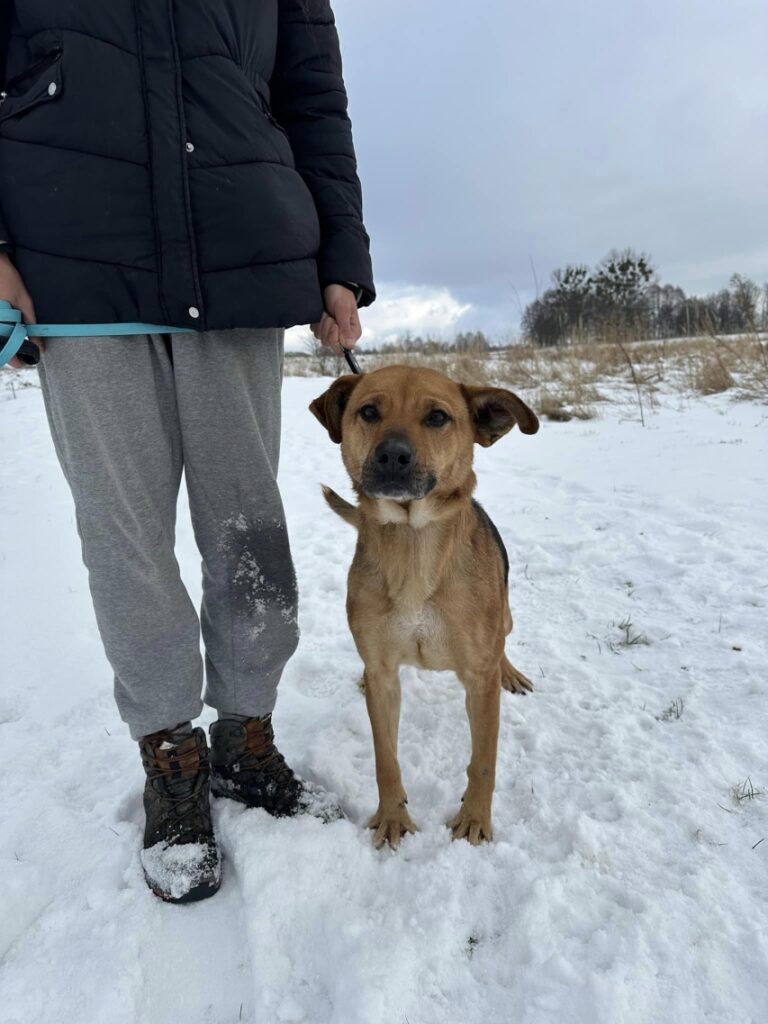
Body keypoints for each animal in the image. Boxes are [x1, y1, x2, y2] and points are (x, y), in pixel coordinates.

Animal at [309, 364, 536, 843]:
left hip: (505, 619)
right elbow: (385, 758)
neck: (414, 546)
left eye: (437, 417)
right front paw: (392, 817)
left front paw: (474, 820)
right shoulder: (383, 674)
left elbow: (483, 761)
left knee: (504, 643)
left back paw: (510, 671)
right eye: (368, 411)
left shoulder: (479, 680)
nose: (393, 456)